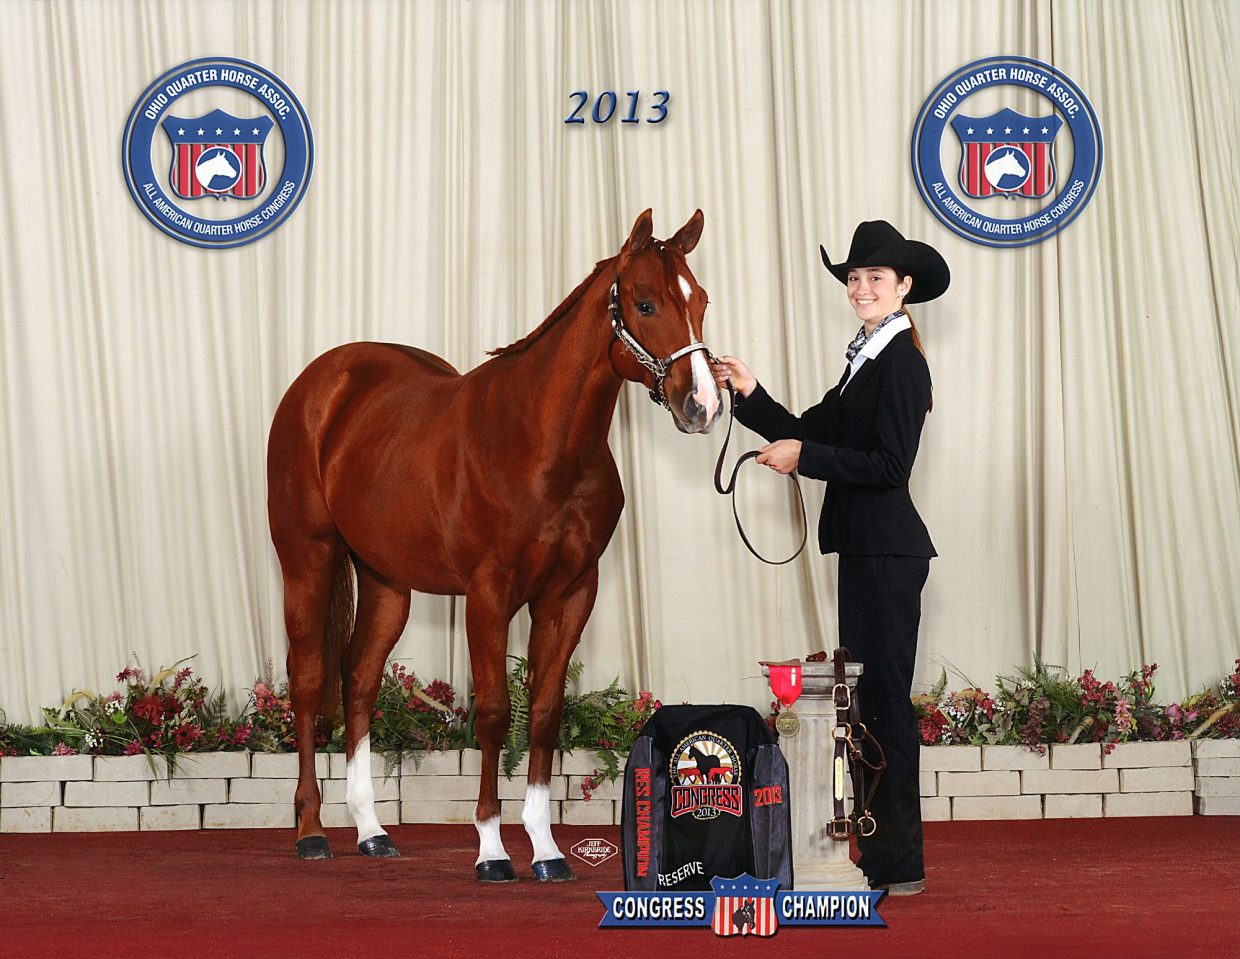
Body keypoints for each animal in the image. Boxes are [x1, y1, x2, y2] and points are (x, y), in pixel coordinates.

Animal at [267, 209, 722, 881]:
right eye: (644, 303)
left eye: (701, 301)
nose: (703, 405)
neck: (541, 446)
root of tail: (322, 382)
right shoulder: (488, 594)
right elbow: (493, 713)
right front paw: (491, 850)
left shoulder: (570, 593)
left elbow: (544, 712)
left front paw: (548, 850)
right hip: (308, 557)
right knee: (307, 679)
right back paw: (310, 832)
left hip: (386, 580)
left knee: (360, 678)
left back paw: (372, 830)